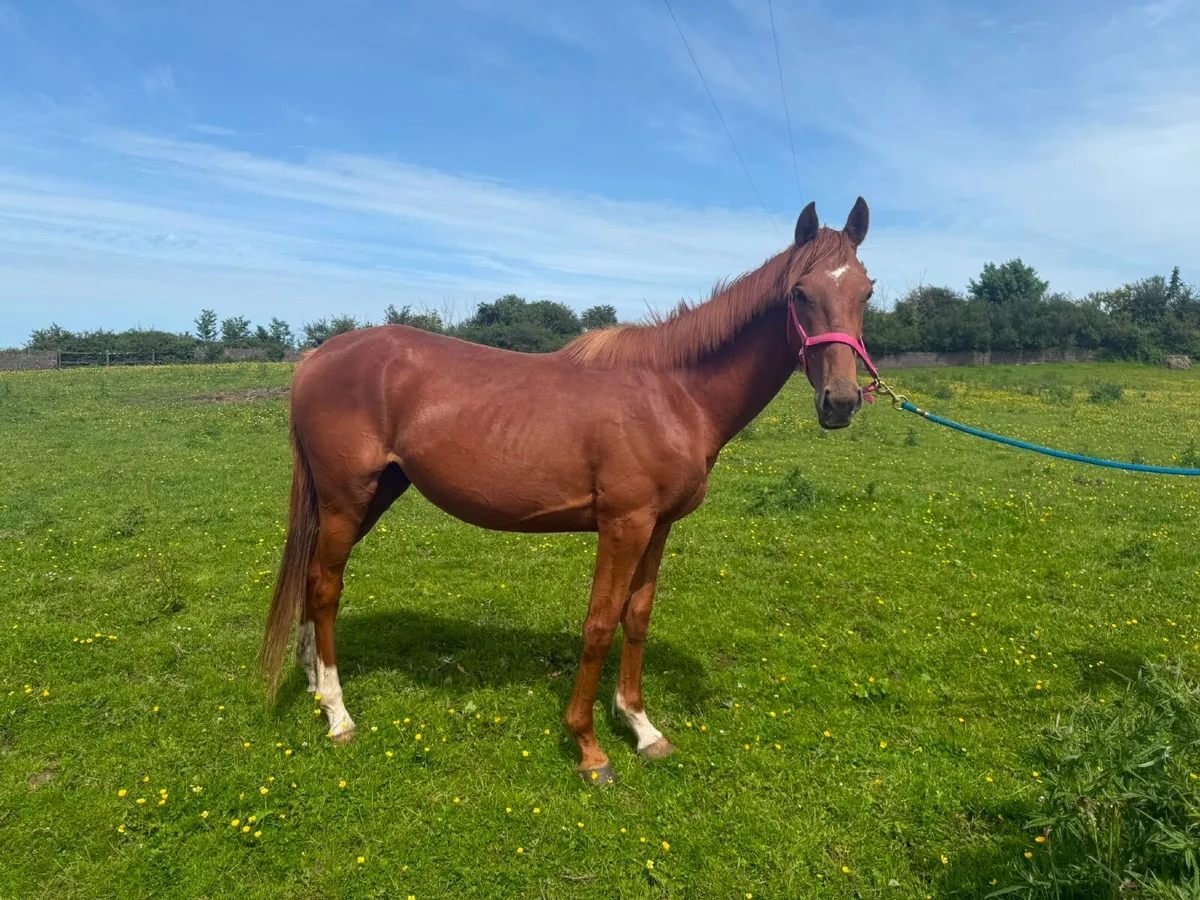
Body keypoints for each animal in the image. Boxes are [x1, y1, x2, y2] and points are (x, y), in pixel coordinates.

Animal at [259, 197, 879, 784]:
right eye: (799, 293)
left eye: (866, 292)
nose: (842, 401)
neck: (672, 394)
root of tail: (316, 356)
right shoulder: (624, 525)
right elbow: (599, 624)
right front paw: (589, 747)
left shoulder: (658, 526)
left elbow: (637, 618)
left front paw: (642, 727)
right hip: (346, 498)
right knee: (326, 587)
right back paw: (338, 713)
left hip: (371, 495)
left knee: (313, 576)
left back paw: (313, 683)